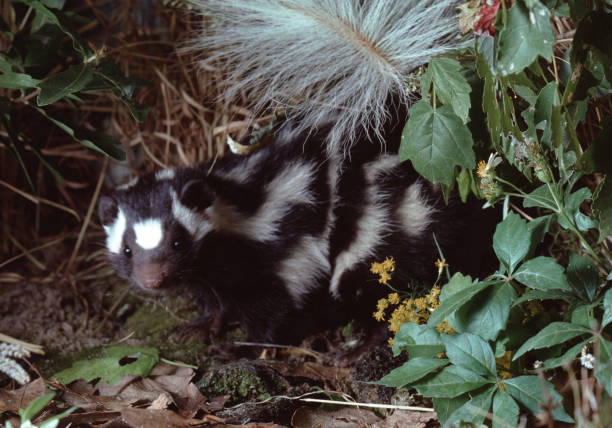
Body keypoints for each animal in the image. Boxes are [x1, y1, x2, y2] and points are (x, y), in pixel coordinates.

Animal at [97, 0, 498, 344]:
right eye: (128, 250)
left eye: (179, 242)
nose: (152, 280)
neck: (233, 201)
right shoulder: (212, 271)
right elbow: (217, 298)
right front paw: (203, 325)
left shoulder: (283, 242)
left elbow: (281, 303)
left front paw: (247, 347)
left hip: (379, 224)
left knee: (372, 276)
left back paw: (362, 343)